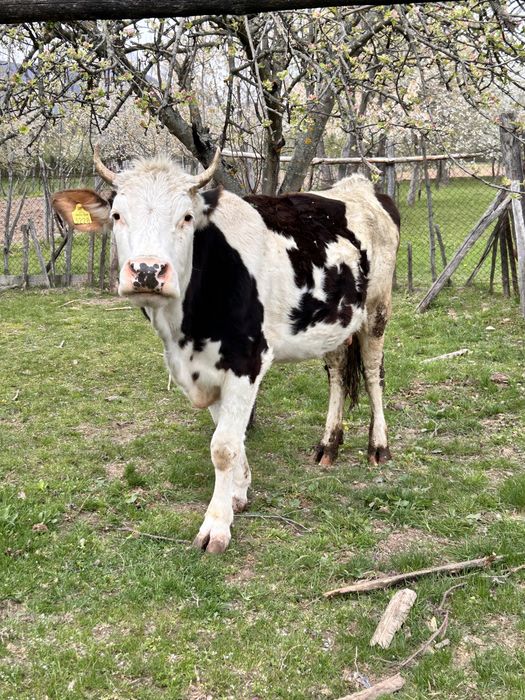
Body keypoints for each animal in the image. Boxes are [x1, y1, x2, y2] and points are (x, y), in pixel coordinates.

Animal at [52, 147, 400, 554]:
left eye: (186, 217)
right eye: (118, 215)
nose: (148, 271)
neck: (184, 330)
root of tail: (358, 187)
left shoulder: (246, 360)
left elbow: (223, 446)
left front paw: (216, 526)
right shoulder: (204, 368)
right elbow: (230, 435)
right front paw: (238, 492)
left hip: (377, 309)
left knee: (374, 373)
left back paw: (378, 446)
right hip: (332, 321)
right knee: (338, 373)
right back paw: (329, 445)